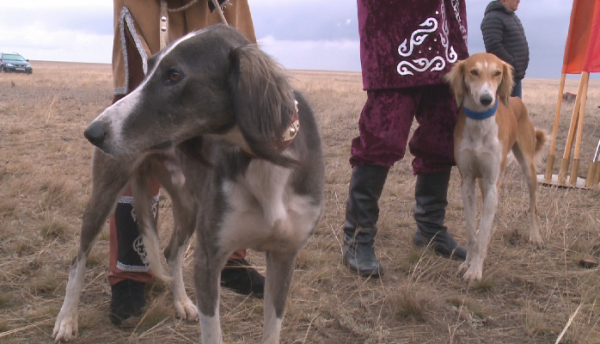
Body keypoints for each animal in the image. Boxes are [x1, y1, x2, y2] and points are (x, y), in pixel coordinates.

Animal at [52, 24, 324, 344]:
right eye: (148, 68)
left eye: (174, 75)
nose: (92, 132)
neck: (260, 161)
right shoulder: (209, 259)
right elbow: (213, 333)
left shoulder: (284, 257)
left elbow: (272, 329)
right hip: (104, 195)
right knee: (77, 260)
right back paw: (66, 319)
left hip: (189, 207)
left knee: (171, 251)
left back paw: (181, 302)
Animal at [446, 51, 548, 282]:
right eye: (474, 72)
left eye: (497, 73)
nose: (486, 100)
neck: (479, 124)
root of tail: (517, 99)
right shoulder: (467, 181)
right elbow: (471, 230)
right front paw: (468, 262)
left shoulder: (494, 182)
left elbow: (483, 230)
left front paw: (475, 270)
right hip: (483, 181)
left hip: (528, 169)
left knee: (533, 205)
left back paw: (535, 236)